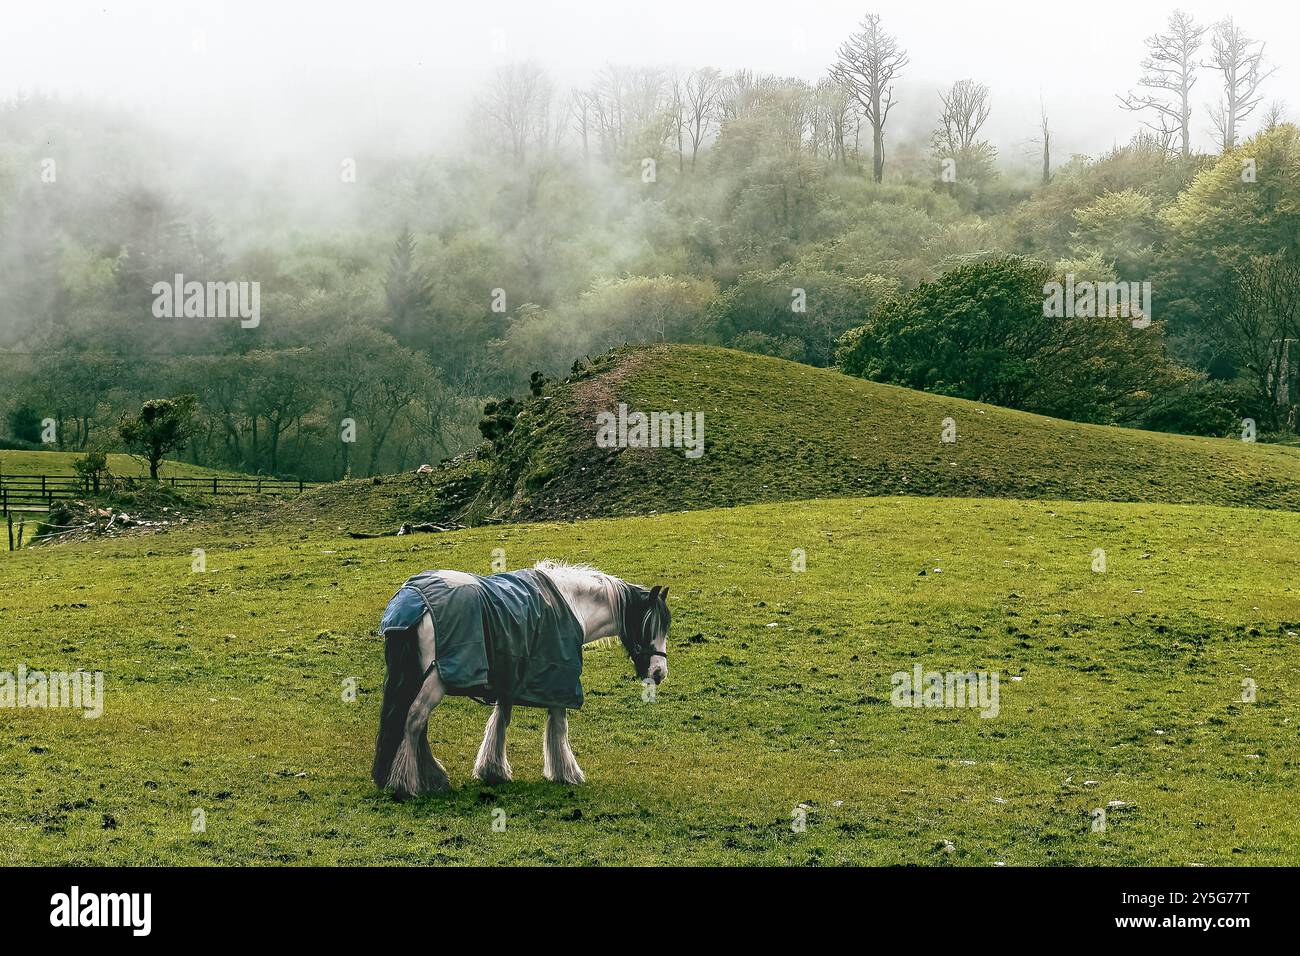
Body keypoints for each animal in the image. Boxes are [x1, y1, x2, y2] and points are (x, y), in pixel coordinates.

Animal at [369, 556, 665, 796]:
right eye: (649, 627)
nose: (659, 673)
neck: (572, 607)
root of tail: (413, 599)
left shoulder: (510, 679)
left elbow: (500, 721)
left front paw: (492, 770)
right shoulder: (559, 685)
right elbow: (559, 727)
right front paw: (567, 773)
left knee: (414, 722)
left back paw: (425, 777)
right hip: (435, 680)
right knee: (415, 719)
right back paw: (407, 784)